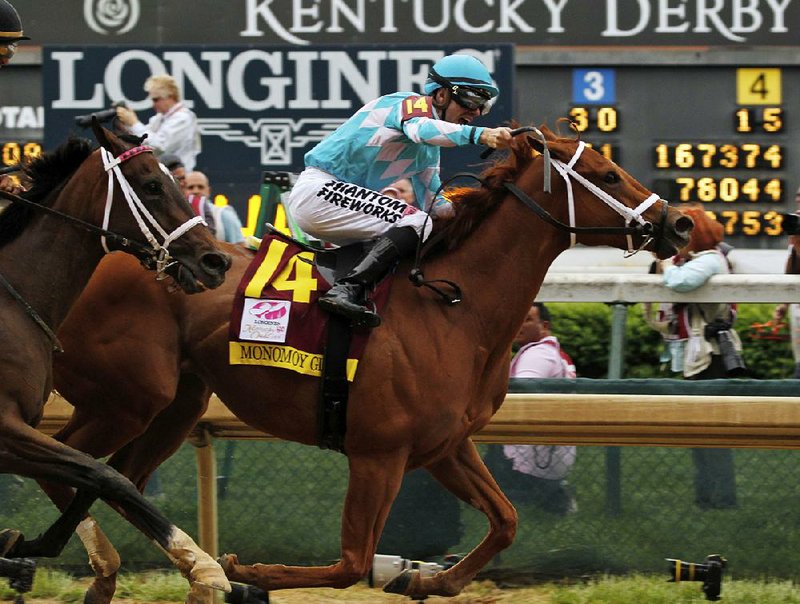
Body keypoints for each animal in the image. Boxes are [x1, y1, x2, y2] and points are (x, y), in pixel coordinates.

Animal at [0, 120, 231, 596]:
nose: (216, 261)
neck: (12, 300)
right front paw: (203, 565)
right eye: (152, 185)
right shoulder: (7, 428)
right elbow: (109, 476)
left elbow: (96, 474)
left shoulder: (21, 433)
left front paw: (17, 547)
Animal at [47, 125, 692, 600]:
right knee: (69, 460)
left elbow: (505, 520)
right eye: (608, 175)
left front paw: (427, 579)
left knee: (116, 478)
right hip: (125, 399)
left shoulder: (443, 446)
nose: (680, 222)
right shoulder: (378, 453)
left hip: (175, 405)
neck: (455, 308)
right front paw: (245, 571)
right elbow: (350, 564)